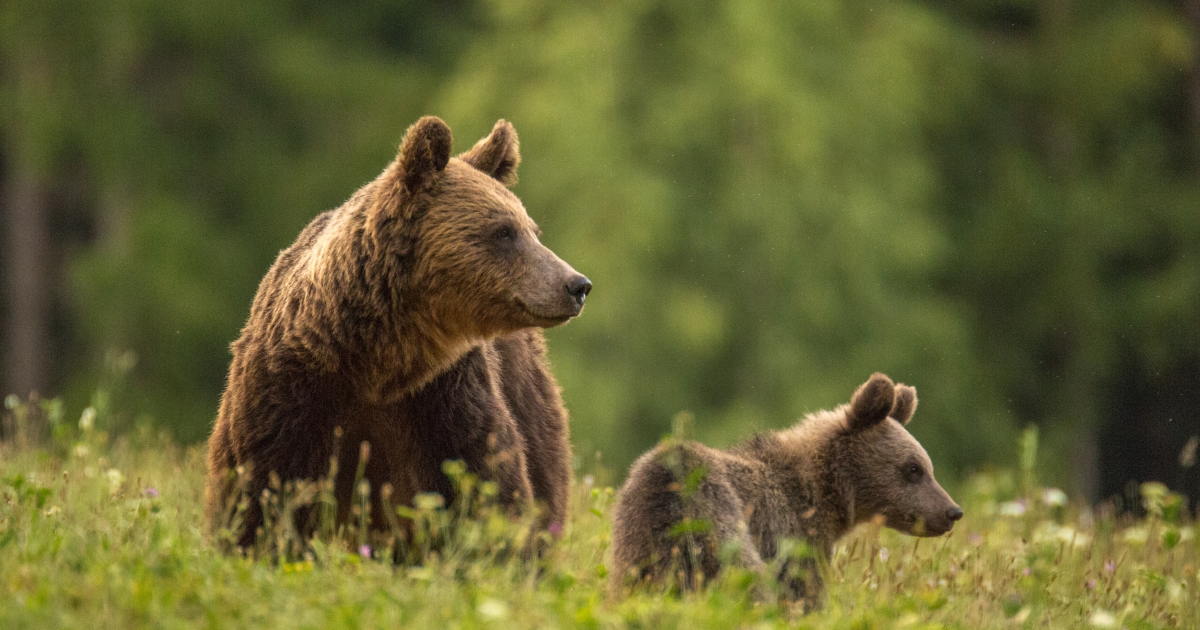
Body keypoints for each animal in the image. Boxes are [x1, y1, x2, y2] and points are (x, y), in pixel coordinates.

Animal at [206, 116, 590, 544]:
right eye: (504, 231)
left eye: (531, 230)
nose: (576, 285)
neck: (377, 361)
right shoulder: (288, 397)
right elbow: (258, 496)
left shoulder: (444, 402)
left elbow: (488, 489)